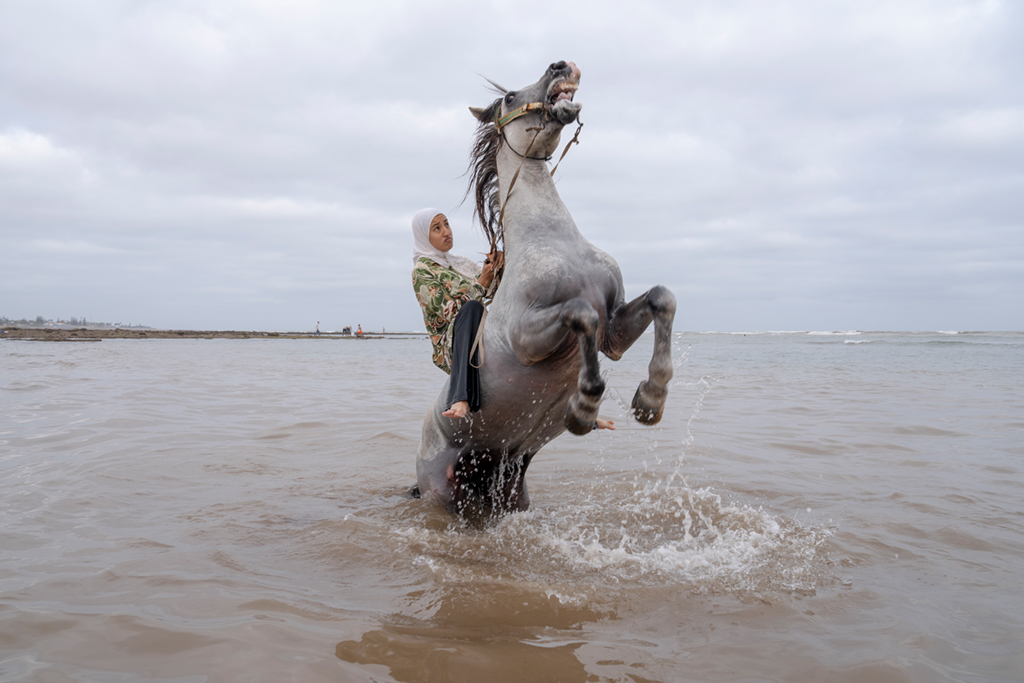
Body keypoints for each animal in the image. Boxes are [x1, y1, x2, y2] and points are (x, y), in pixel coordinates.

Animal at [415, 60, 676, 516]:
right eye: (508, 97)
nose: (560, 66)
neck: (552, 237)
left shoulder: (615, 332)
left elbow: (663, 298)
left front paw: (650, 400)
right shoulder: (527, 337)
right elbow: (581, 314)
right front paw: (584, 407)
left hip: (509, 484)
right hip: (440, 493)